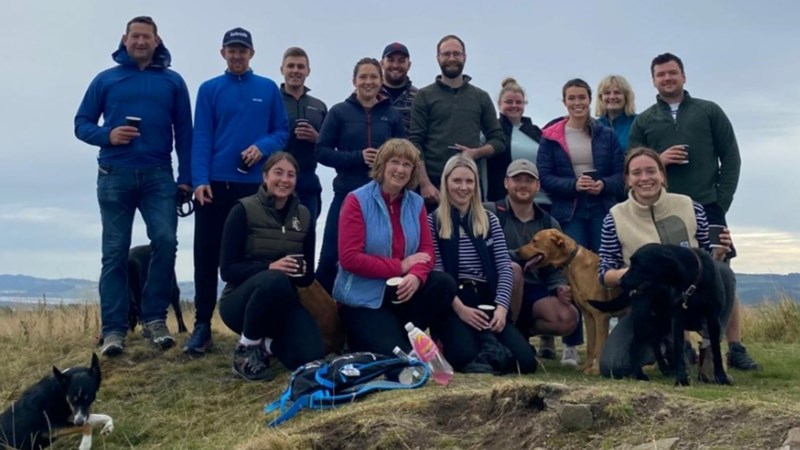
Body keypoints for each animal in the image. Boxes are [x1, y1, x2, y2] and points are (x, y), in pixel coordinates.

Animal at [517, 228, 624, 375]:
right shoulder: (589, 316)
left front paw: (595, 370)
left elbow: (599, 346)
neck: (573, 261)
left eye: (534, 241)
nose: (516, 251)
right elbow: (591, 346)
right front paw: (585, 367)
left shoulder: (601, 316)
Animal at [611, 243, 733, 386]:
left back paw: (664, 368)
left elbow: (716, 351)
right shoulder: (677, 320)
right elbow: (679, 351)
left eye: (637, 264)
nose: (620, 281)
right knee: (635, 346)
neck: (692, 281)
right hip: (645, 319)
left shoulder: (713, 319)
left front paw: (721, 377)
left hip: (661, 321)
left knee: (655, 342)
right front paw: (681, 379)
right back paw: (639, 374)